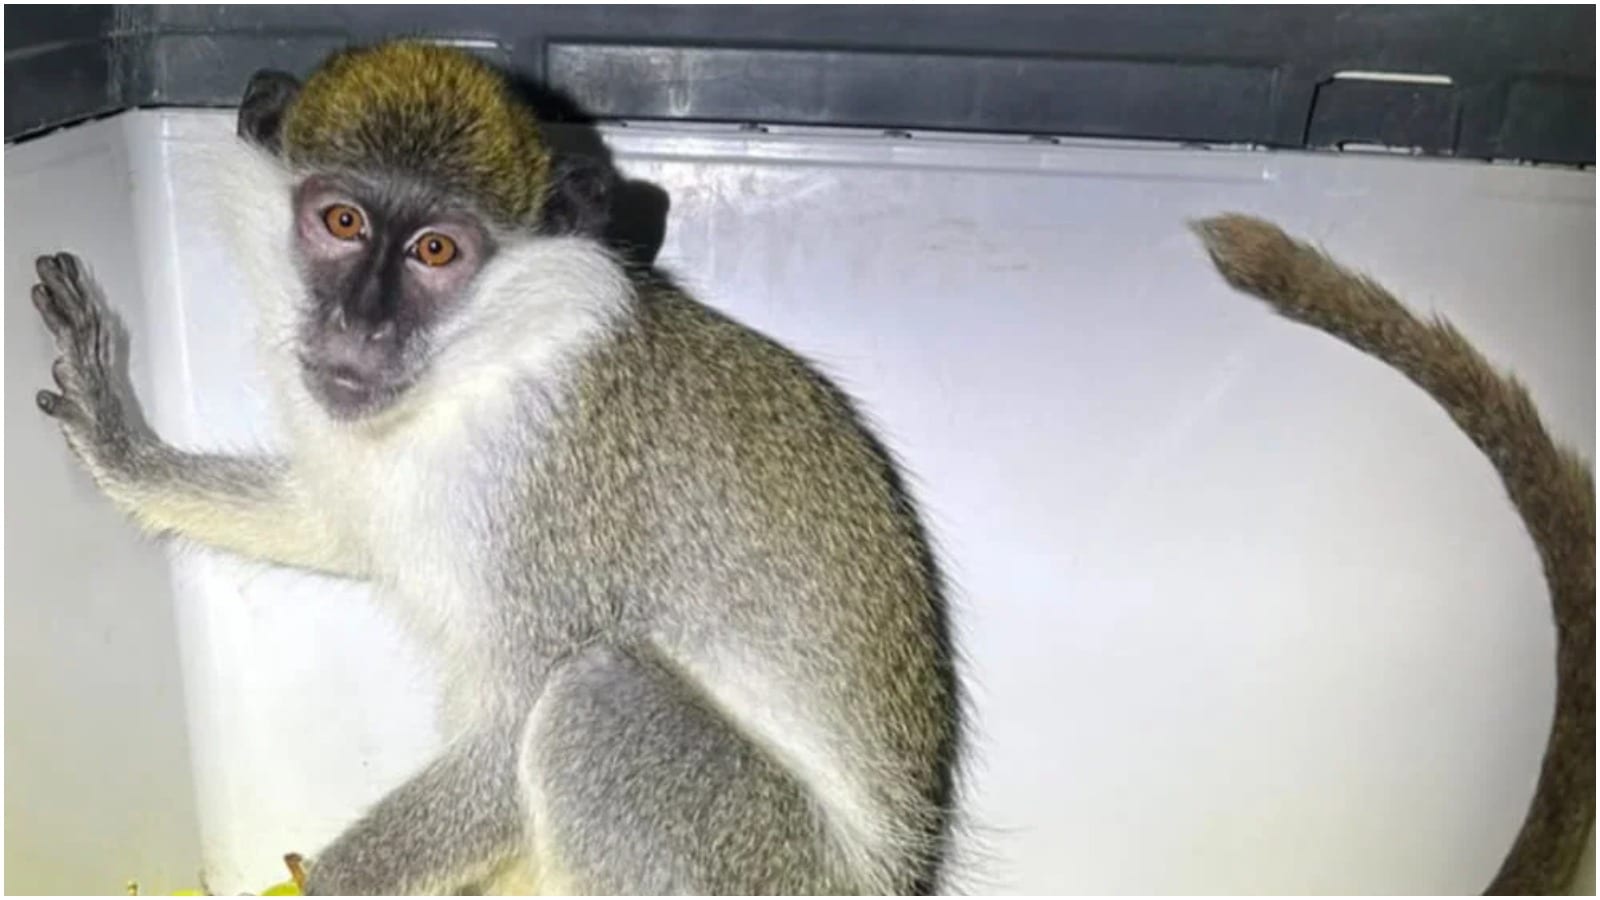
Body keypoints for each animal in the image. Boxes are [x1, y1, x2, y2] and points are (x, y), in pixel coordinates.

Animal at [27, 41, 962, 894]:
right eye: (343, 222)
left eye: (436, 251)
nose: (360, 326)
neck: (477, 368)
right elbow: (337, 525)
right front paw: (118, 442)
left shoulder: (556, 499)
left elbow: (508, 734)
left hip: (757, 857)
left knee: (590, 701)